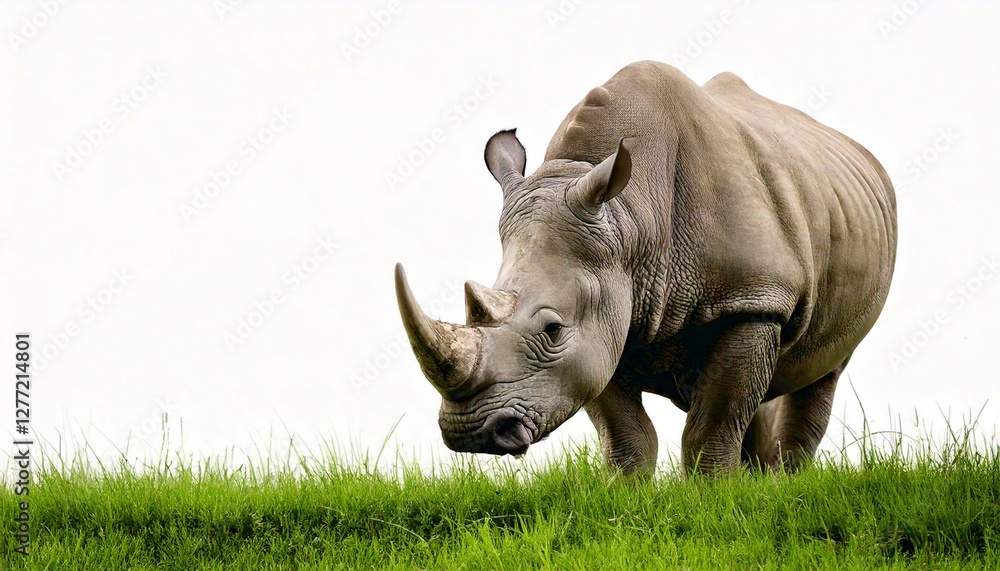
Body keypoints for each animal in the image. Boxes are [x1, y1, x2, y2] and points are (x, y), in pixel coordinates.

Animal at [394, 61, 897, 475]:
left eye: (553, 330)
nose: (472, 432)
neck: (631, 221)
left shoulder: (754, 298)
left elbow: (713, 425)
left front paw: (713, 499)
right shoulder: (609, 308)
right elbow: (626, 433)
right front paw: (627, 496)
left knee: (823, 371)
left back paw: (785, 481)